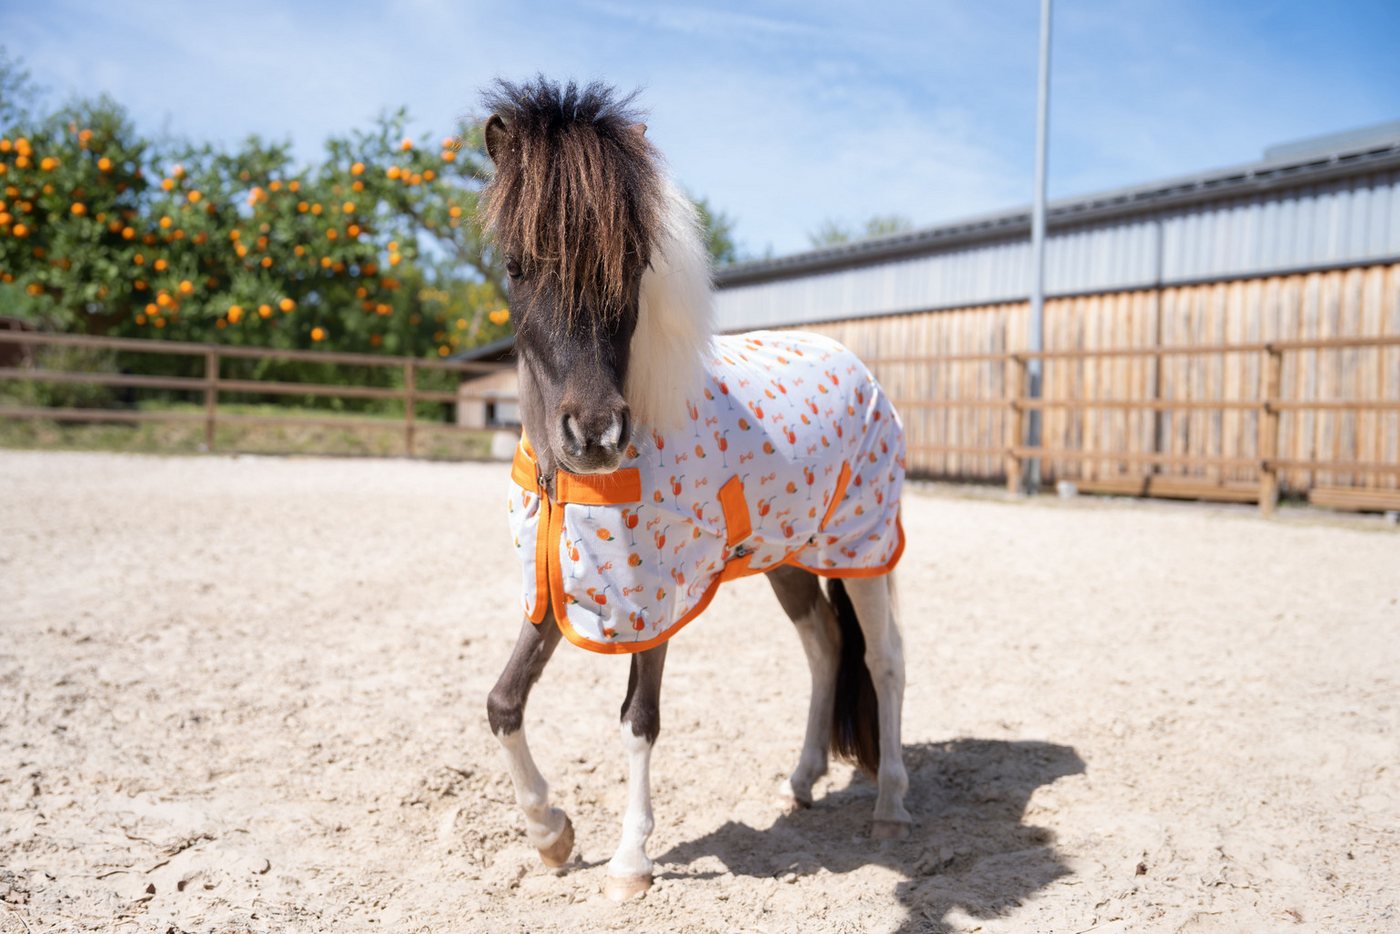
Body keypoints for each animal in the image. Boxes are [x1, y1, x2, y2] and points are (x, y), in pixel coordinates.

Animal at [480, 78, 910, 901]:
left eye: (633, 267)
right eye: (516, 266)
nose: (595, 433)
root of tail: (851, 358)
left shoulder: (653, 600)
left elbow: (638, 719)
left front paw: (629, 863)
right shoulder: (559, 584)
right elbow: (504, 702)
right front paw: (551, 835)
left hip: (862, 549)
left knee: (883, 659)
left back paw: (891, 808)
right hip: (788, 557)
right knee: (825, 646)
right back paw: (800, 781)